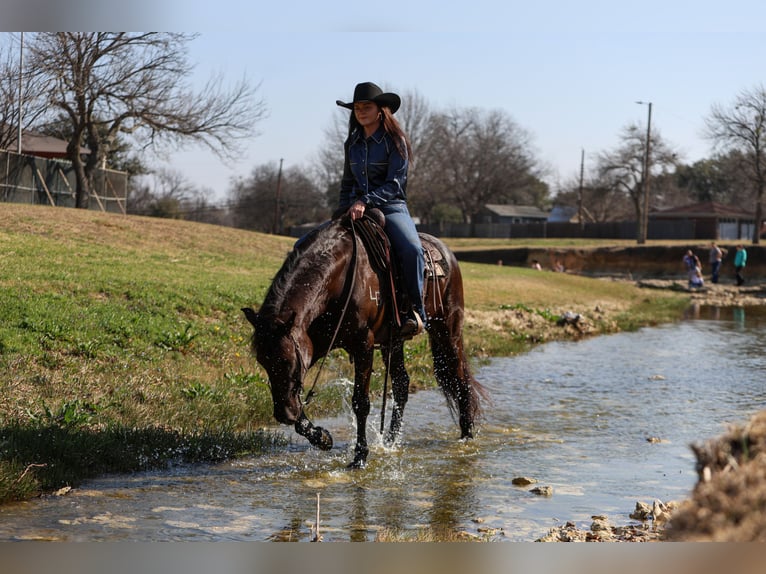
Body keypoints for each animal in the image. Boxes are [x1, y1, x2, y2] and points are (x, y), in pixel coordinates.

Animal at [243, 212, 486, 468]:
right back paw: (390, 441)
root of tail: (446, 252)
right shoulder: (316, 343)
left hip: (448, 329)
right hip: (394, 342)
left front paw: (360, 456)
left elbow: (360, 402)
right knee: (402, 384)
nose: (283, 414)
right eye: (262, 361)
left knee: (459, 377)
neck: (338, 277)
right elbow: (302, 402)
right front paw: (322, 437)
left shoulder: (363, 344)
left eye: (287, 361)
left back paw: (467, 434)